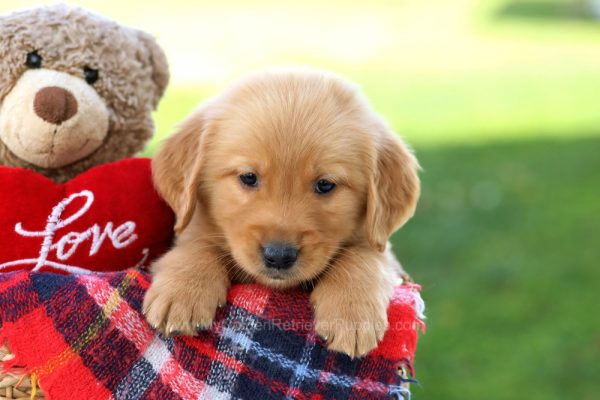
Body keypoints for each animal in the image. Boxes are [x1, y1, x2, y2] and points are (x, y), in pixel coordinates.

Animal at [142, 67, 420, 358]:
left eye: (325, 184)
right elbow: (196, 243)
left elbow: (365, 256)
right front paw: (183, 291)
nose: (279, 256)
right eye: (248, 177)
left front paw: (351, 314)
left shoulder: (378, 244)